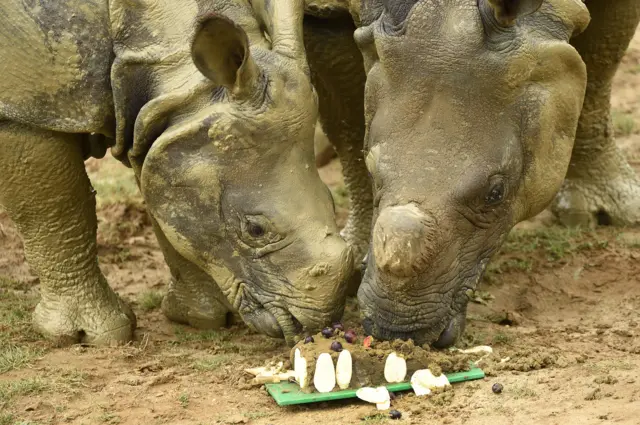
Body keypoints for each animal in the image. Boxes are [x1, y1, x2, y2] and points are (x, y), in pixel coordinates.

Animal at [0, 0, 376, 344]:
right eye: (255, 229)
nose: (317, 320)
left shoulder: (162, 118)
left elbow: (161, 198)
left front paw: (201, 316)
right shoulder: (24, 110)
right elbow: (56, 208)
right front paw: (89, 335)